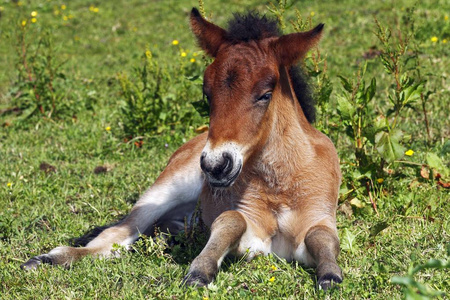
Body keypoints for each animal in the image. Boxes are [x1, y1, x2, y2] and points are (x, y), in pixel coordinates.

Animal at [22, 8, 342, 290]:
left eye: (265, 94)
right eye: (207, 93)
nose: (216, 165)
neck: (279, 184)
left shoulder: (319, 218)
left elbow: (322, 237)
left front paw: (330, 276)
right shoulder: (252, 236)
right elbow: (230, 220)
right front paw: (200, 272)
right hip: (165, 190)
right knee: (119, 234)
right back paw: (49, 259)